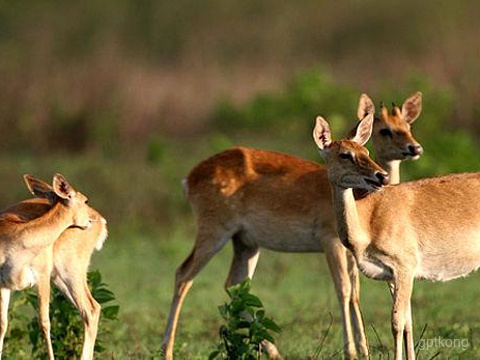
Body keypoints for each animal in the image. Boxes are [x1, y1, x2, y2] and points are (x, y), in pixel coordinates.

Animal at [0, 174, 106, 360]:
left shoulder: (41, 277)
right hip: (60, 278)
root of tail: (102, 221)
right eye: (85, 200)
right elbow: (2, 325)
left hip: (71, 272)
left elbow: (44, 324)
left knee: (91, 308)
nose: (91, 220)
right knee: (89, 310)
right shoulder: (3, 284)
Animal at [162, 91, 424, 358]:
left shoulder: (353, 251)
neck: (361, 202)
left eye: (408, 126)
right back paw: (167, 350)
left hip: (246, 242)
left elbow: (356, 292)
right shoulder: (330, 239)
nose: (414, 148)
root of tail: (188, 179)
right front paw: (352, 351)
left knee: (234, 284)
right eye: (385, 130)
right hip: (214, 230)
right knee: (183, 274)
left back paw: (274, 351)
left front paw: (364, 350)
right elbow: (344, 289)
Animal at [314, 112, 480, 360]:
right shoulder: (392, 275)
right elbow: (408, 322)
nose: (381, 176)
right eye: (345, 154)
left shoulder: (405, 264)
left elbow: (396, 322)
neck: (367, 224)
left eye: (366, 152)